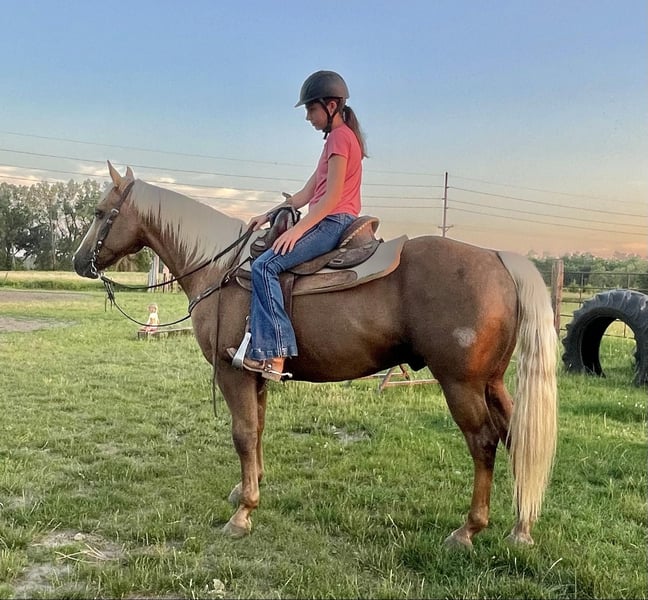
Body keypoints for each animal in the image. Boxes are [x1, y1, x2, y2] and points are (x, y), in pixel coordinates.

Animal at [73, 162, 558, 549]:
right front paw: (248, 489)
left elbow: (242, 434)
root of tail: (498, 258)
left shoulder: (232, 374)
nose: (80, 262)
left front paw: (242, 514)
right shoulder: (254, 374)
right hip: (491, 381)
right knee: (517, 436)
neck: (220, 269)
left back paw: (468, 530)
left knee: (484, 441)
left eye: (99, 212)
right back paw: (521, 529)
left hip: (461, 384)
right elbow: (258, 430)